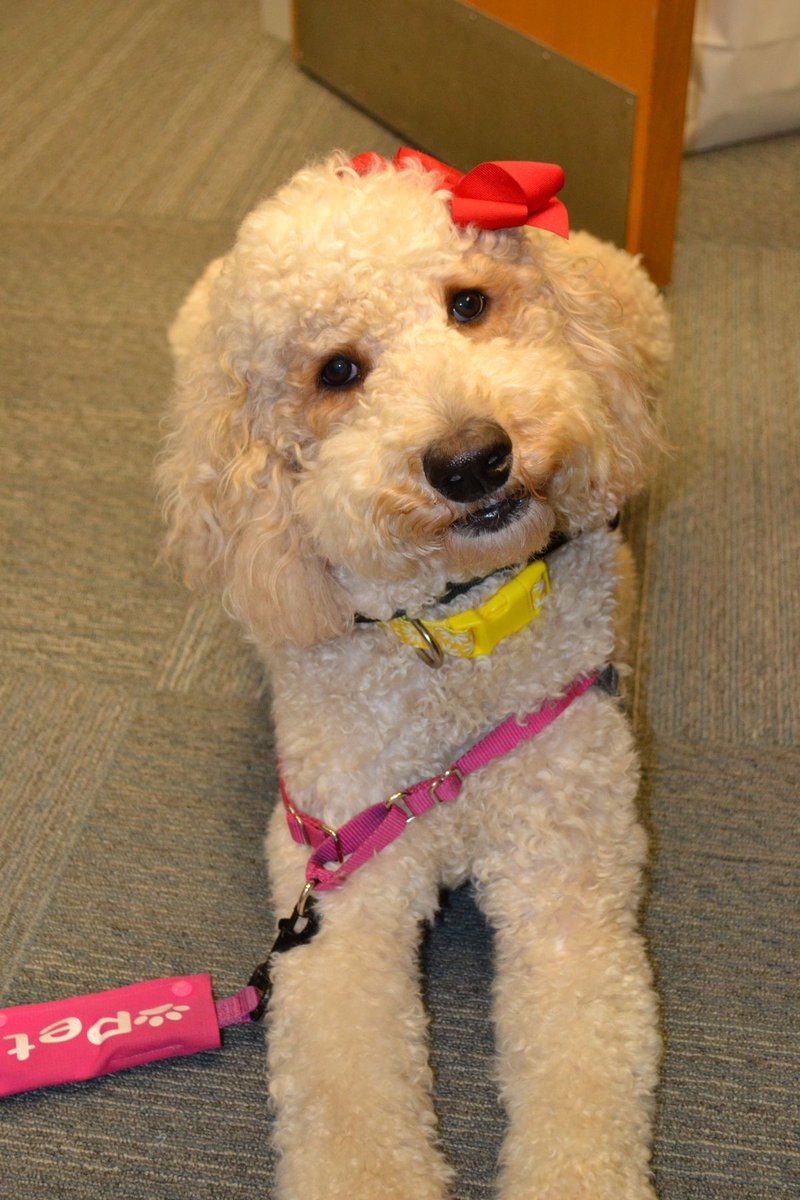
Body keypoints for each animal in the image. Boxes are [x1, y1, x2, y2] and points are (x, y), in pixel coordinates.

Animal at [155, 150, 671, 1200]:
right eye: (338, 371)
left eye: (468, 303)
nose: (472, 460)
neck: (454, 645)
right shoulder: (339, 898)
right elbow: (351, 1099)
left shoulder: (570, 882)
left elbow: (584, 1076)